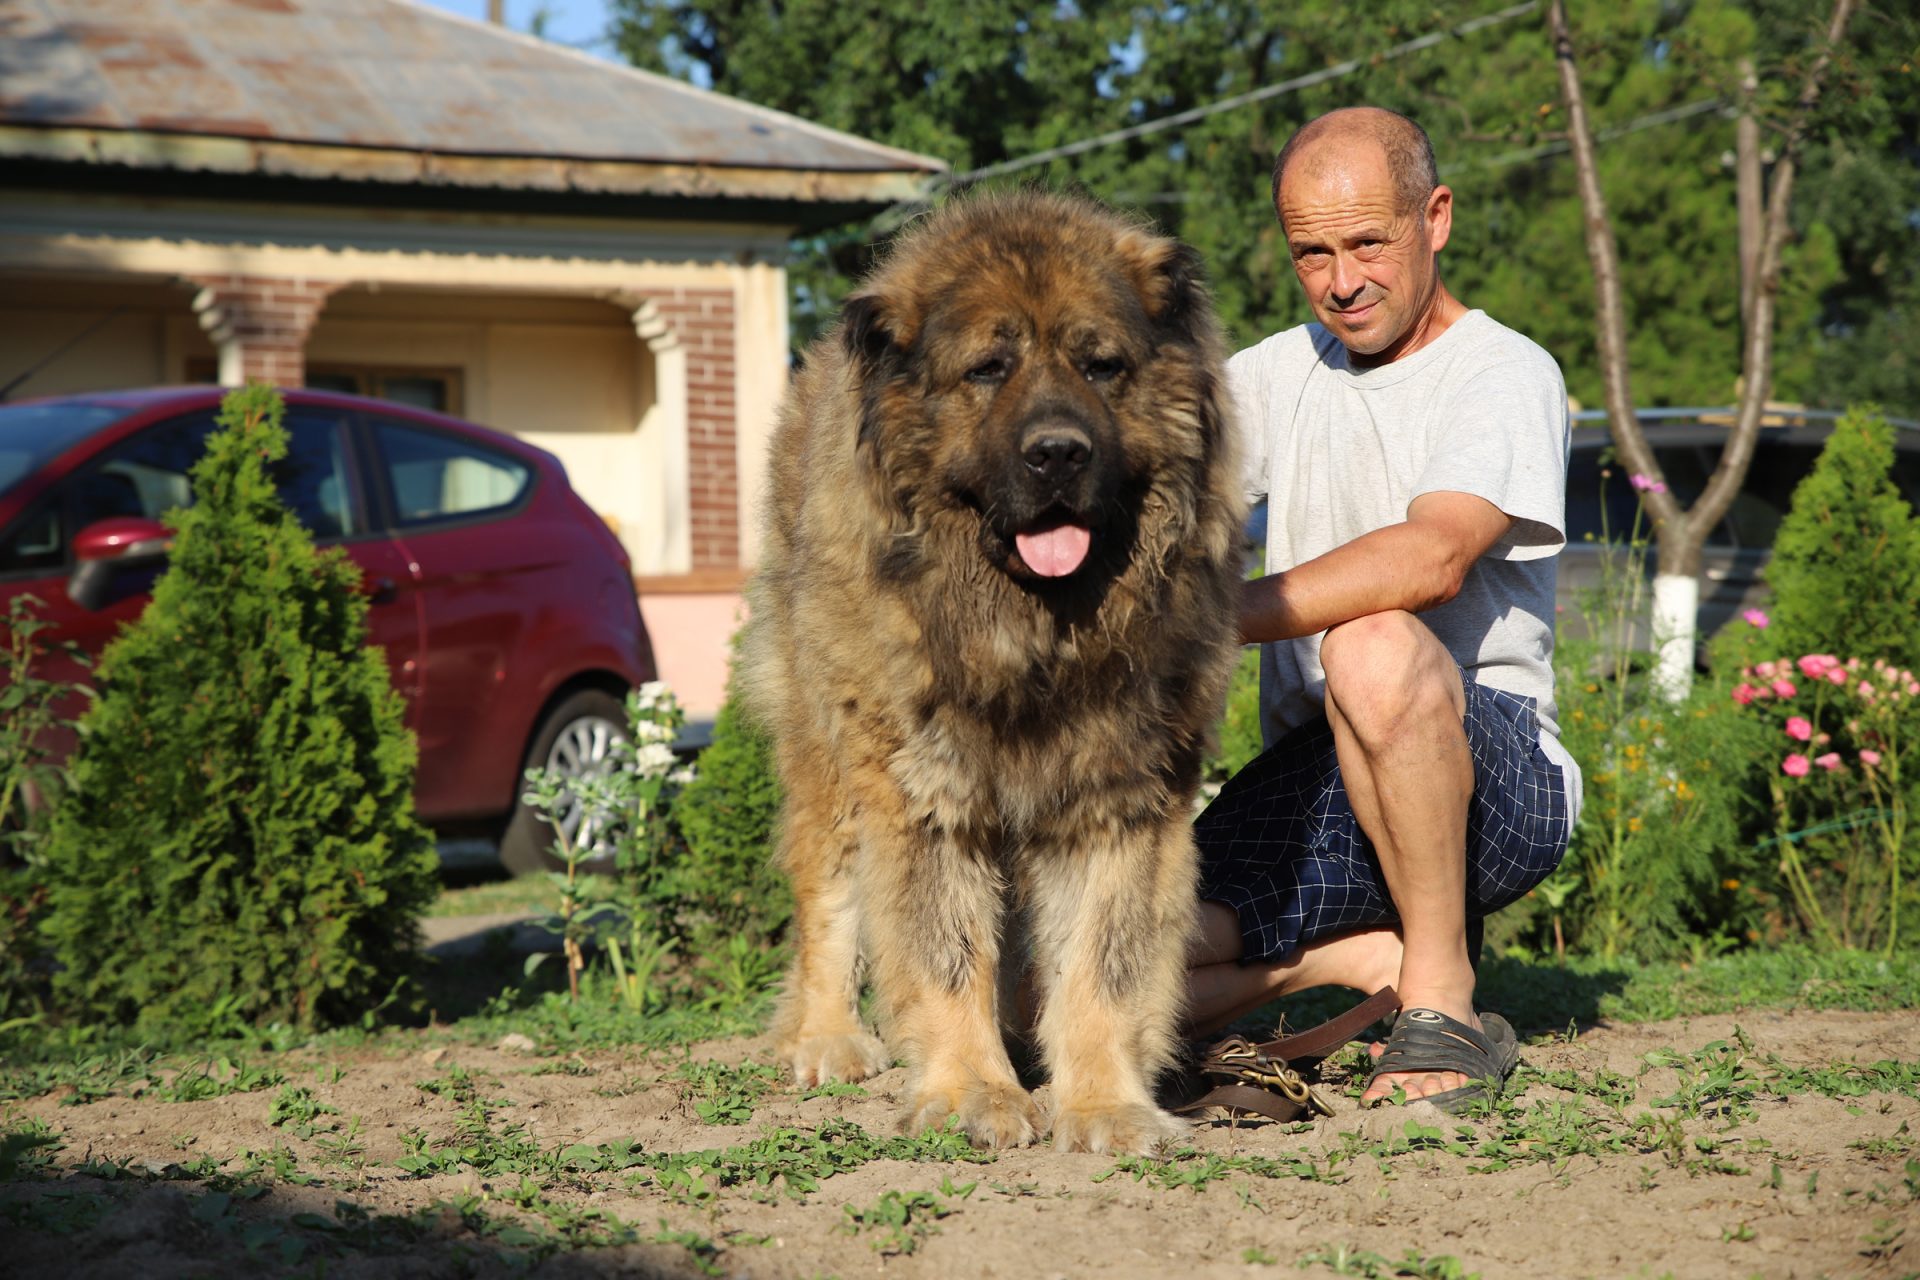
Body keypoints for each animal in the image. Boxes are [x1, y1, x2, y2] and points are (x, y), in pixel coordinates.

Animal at [733, 192, 1244, 1159]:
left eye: (1101, 366)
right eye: (987, 369)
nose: (1058, 453)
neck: (1028, 633)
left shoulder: (1117, 798)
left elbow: (1101, 963)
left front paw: (1102, 1104)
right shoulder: (923, 796)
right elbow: (944, 952)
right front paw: (973, 1090)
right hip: (827, 750)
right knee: (828, 894)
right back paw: (825, 1039)